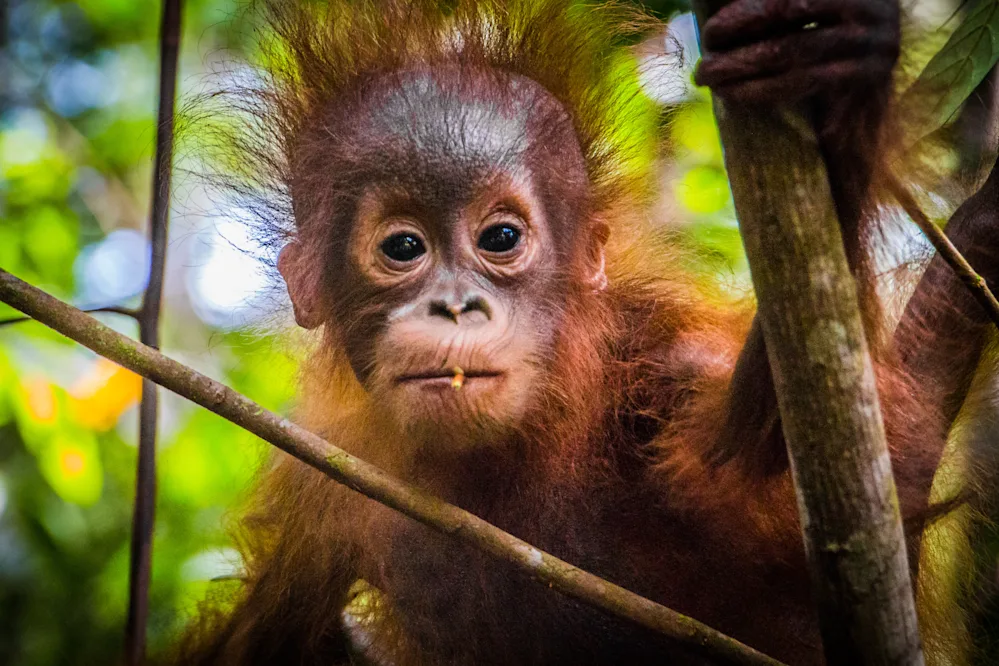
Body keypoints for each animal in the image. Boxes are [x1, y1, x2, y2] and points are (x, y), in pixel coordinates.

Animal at [171, 1, 999, 664]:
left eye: (500, 238)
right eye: (403, 248)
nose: (455, 306)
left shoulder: (663, 357)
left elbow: (782, 492)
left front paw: (834, 98)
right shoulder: (324, 470)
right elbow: (271, 632)